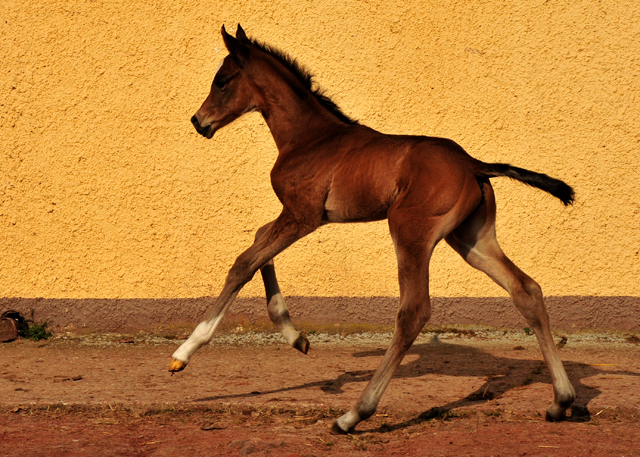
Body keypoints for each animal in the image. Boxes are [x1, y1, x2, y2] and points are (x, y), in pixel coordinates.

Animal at [169, 24, 576, 432]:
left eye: (222, 81)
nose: (198, 122)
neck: (309, 138)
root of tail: (473, 163)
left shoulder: (303, 215)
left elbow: (243, 263)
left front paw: (185, 352)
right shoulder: (297, 215)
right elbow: (257, 246)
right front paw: (296, 337)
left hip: (410, 232)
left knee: (414, 312)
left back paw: (353, 415)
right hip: (472, 239)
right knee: (526, 289)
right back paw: (562, 401)